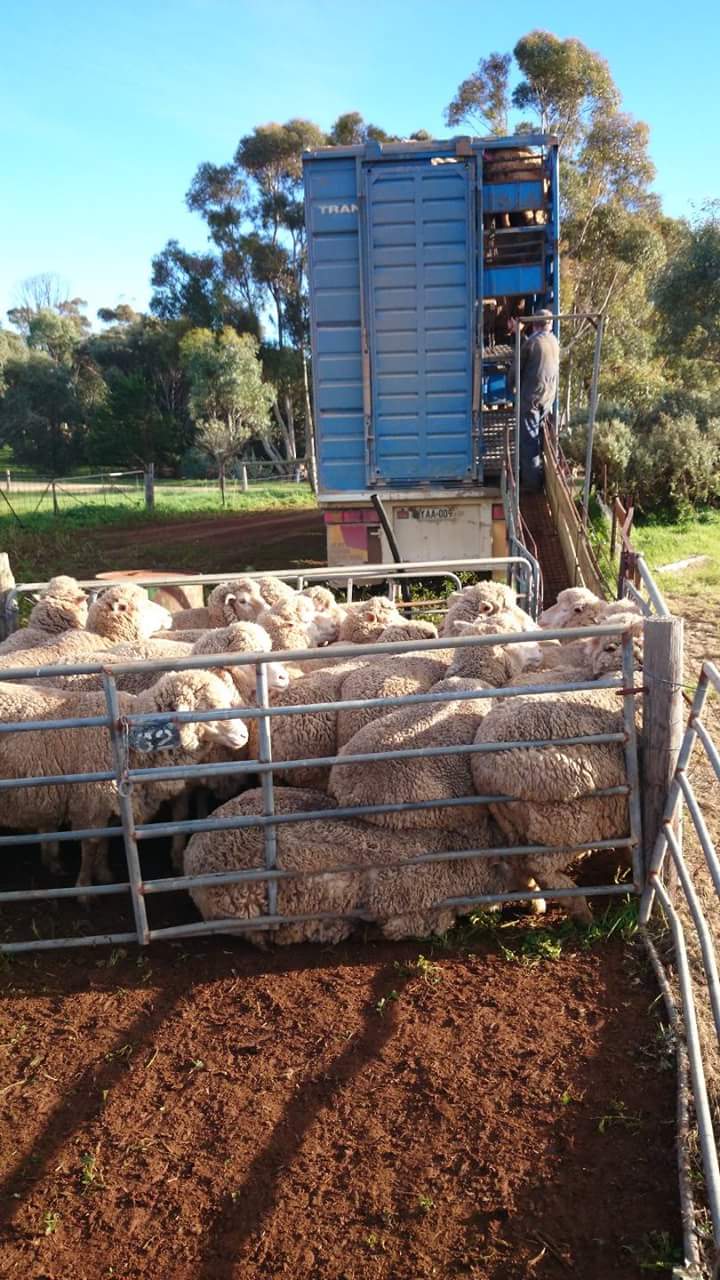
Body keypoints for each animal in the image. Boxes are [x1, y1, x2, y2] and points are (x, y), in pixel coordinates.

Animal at [0, 670, 248, 890]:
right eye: (209, 707)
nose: (244, 735)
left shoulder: (108, 802)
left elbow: (104, 842)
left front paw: (103, 873)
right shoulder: (91, 803)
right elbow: (91, 845)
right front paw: (85, 887)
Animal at [466, 691, 627, 921]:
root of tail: (482, 765)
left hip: (513, 823)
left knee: (518, 865)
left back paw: (537, 902)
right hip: (565, 821)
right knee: (539, 866)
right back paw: (581, 910)